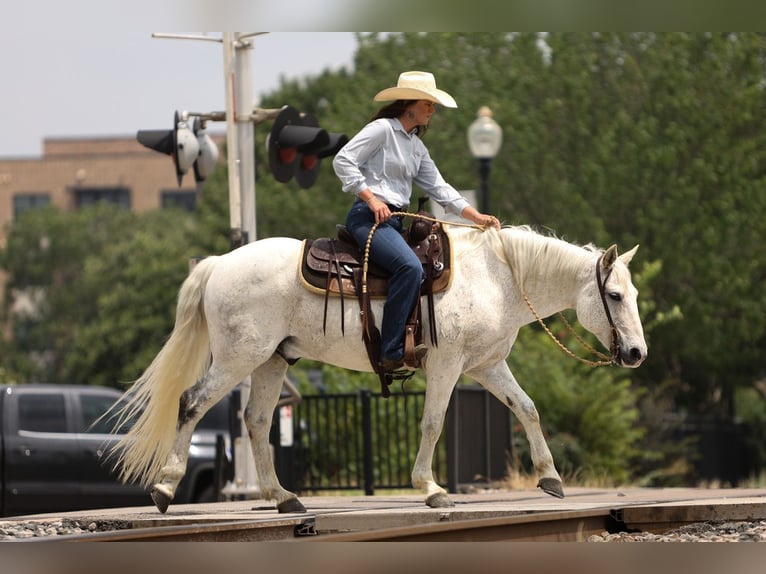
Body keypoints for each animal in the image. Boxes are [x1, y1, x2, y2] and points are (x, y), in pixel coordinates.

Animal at [108, 224, 648, 512]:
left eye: (635, 293)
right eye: (615, 295)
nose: (636, 354)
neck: (498, 279)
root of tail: (219, 263)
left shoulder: (488, 365)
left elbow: (528, 408)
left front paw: (550, 477)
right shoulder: (448, 364)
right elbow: (433, 422)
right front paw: (431, 489)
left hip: (271, 361)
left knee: (257, 422)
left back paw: (283, 497)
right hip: (240, 358)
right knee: (191, 403)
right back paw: (164, 488)